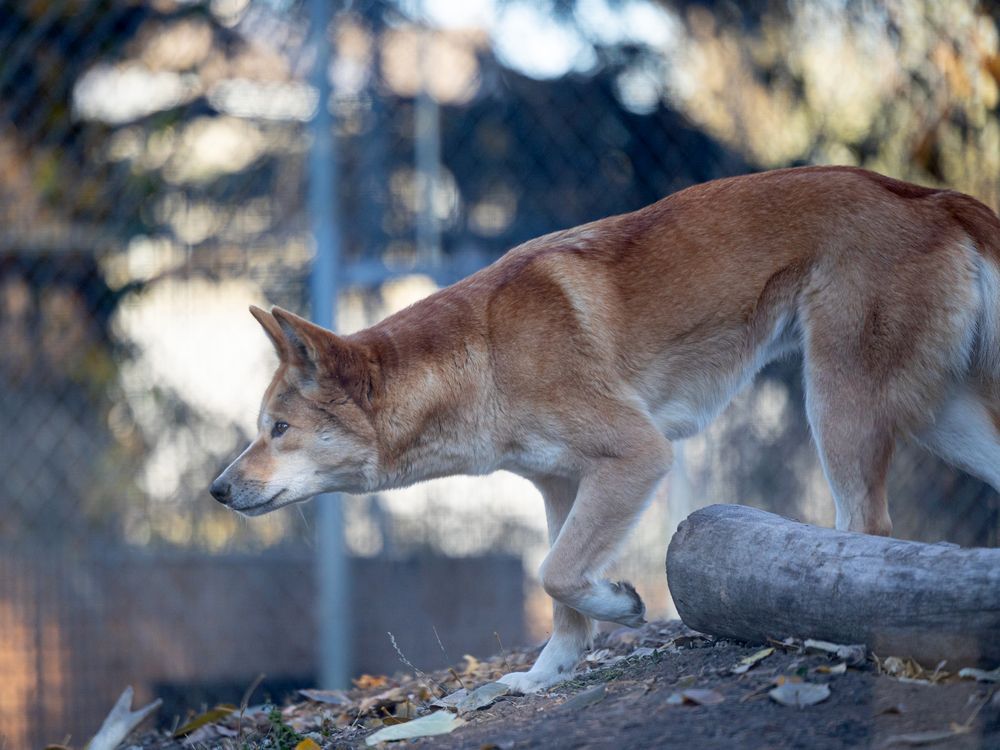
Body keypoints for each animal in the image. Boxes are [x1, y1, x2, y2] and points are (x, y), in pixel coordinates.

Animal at [209, 166, 1000, 692]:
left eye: (277, 427)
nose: (216, 490)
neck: (484, 356)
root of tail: (928, 194)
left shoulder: (636, 454)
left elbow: (556, 573)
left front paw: (621, 605)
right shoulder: (561, 484)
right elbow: (560, 592)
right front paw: (545, 677)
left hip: (836, 402)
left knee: (865, 529)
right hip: (942, 419)